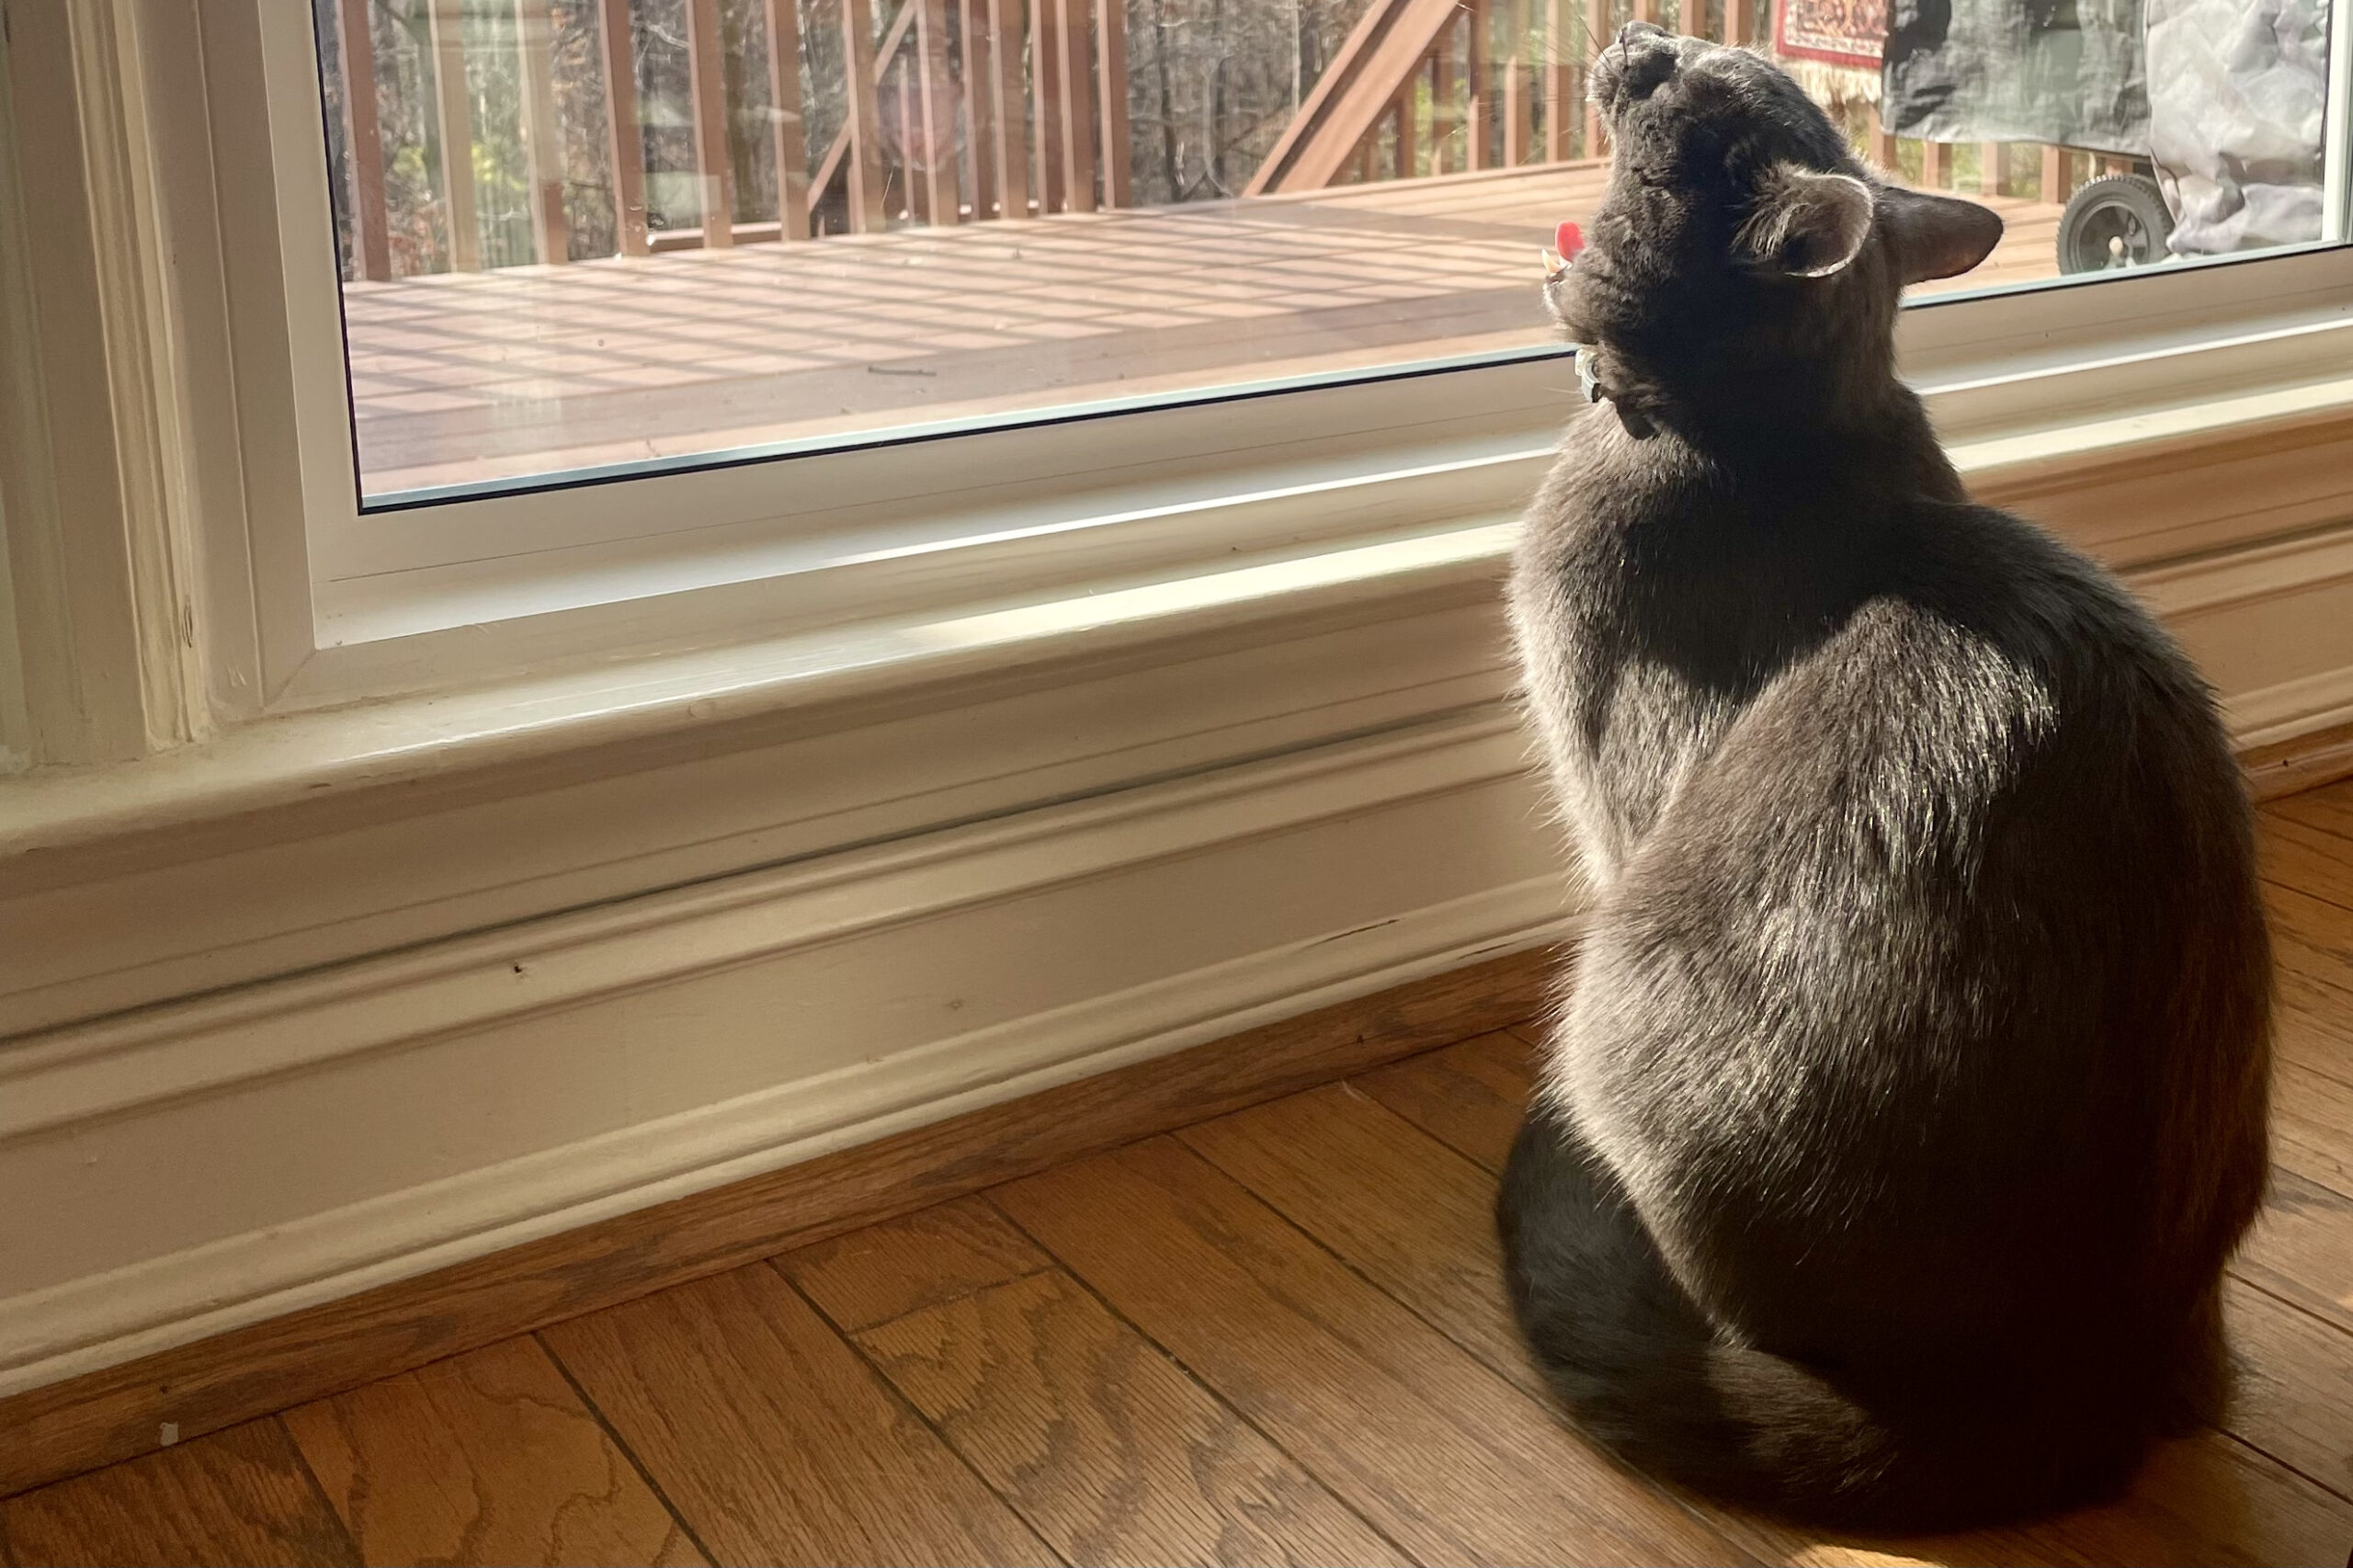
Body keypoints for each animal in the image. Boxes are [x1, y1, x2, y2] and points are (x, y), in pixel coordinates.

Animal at [1496, 24, 2268, 1525]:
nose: (1645, 37)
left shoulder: (1618, 789)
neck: (1765, 431)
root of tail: (2088, 1378)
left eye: (1684, 90)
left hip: (1629, 987)